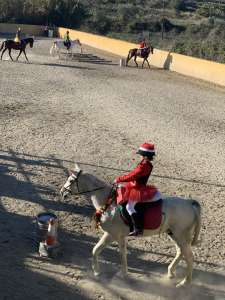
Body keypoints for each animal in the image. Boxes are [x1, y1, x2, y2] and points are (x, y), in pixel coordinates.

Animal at [59, 164, 200, 288]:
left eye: (71, 180)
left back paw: (184, 283)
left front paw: (102, 273)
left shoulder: (112, 235)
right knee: (180, 252)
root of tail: (189, 203)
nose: (62, 192)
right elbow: (113, 252)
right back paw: (170, 273)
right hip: (174, 234)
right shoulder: (116, 236)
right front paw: (116, 273)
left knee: (189, 256)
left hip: (180, 235)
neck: (109, 203)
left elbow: (102, 251)